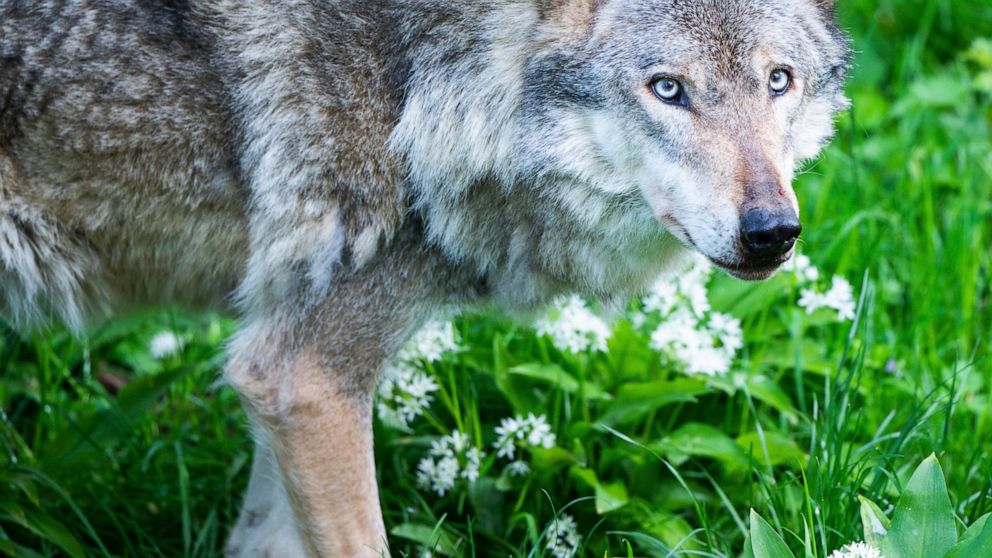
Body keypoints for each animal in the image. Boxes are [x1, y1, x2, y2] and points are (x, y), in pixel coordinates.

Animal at [1, 0, 852, 556]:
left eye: (779, 80)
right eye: (667, 88)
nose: (771, 232)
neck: (421, 77)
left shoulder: (281, 380)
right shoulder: (306, 378)